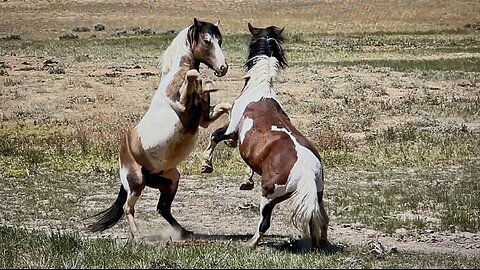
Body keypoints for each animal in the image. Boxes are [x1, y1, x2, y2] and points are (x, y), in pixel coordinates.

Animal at [88, 18, 234, 238]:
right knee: (128, 208)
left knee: (162, 208)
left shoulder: (203, 120)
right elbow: (193, 74)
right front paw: (204, 83)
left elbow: (228, 107)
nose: (222, 68)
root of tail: (124, 152)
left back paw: (184, 232)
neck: (175, 78)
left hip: (170, 179)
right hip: (136, 183)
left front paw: (215, 156)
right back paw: (139, 238)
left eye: (220, 40)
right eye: (207, 40)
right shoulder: (182, 108)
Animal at [202, 23, 330, 249]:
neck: (259, 91)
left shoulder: (232, 128)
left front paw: (206, 164)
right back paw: (320, 243)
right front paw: (246, 180)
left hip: (269, 195)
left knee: (264, 223)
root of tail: (306, 171)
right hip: (318, 196)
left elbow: (216, 135)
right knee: (321, 220)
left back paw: (250, 243)